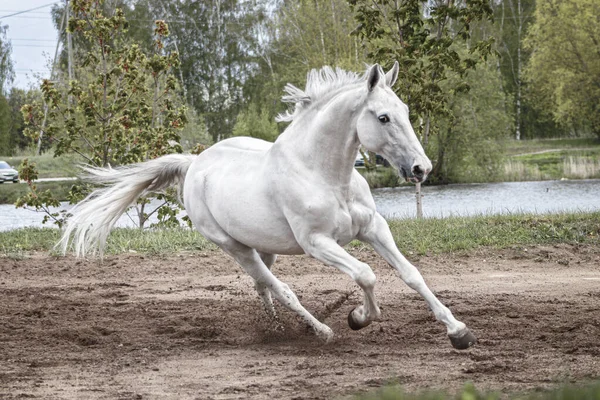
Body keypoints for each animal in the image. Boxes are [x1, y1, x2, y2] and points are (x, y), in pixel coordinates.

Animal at [58, 63, 476, 350]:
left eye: (405, 110)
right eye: (383, 117)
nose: (421, 168)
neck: (325, 175)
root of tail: (194, 164)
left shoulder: (374, 228)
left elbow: (411, 274)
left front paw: (458, 332)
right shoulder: (318, 243)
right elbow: (366, 274)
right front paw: (358, 317)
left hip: (265, 246)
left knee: (264, 287)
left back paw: (277, 330)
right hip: (234, 246)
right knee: (279, 287)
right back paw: (319, 331)